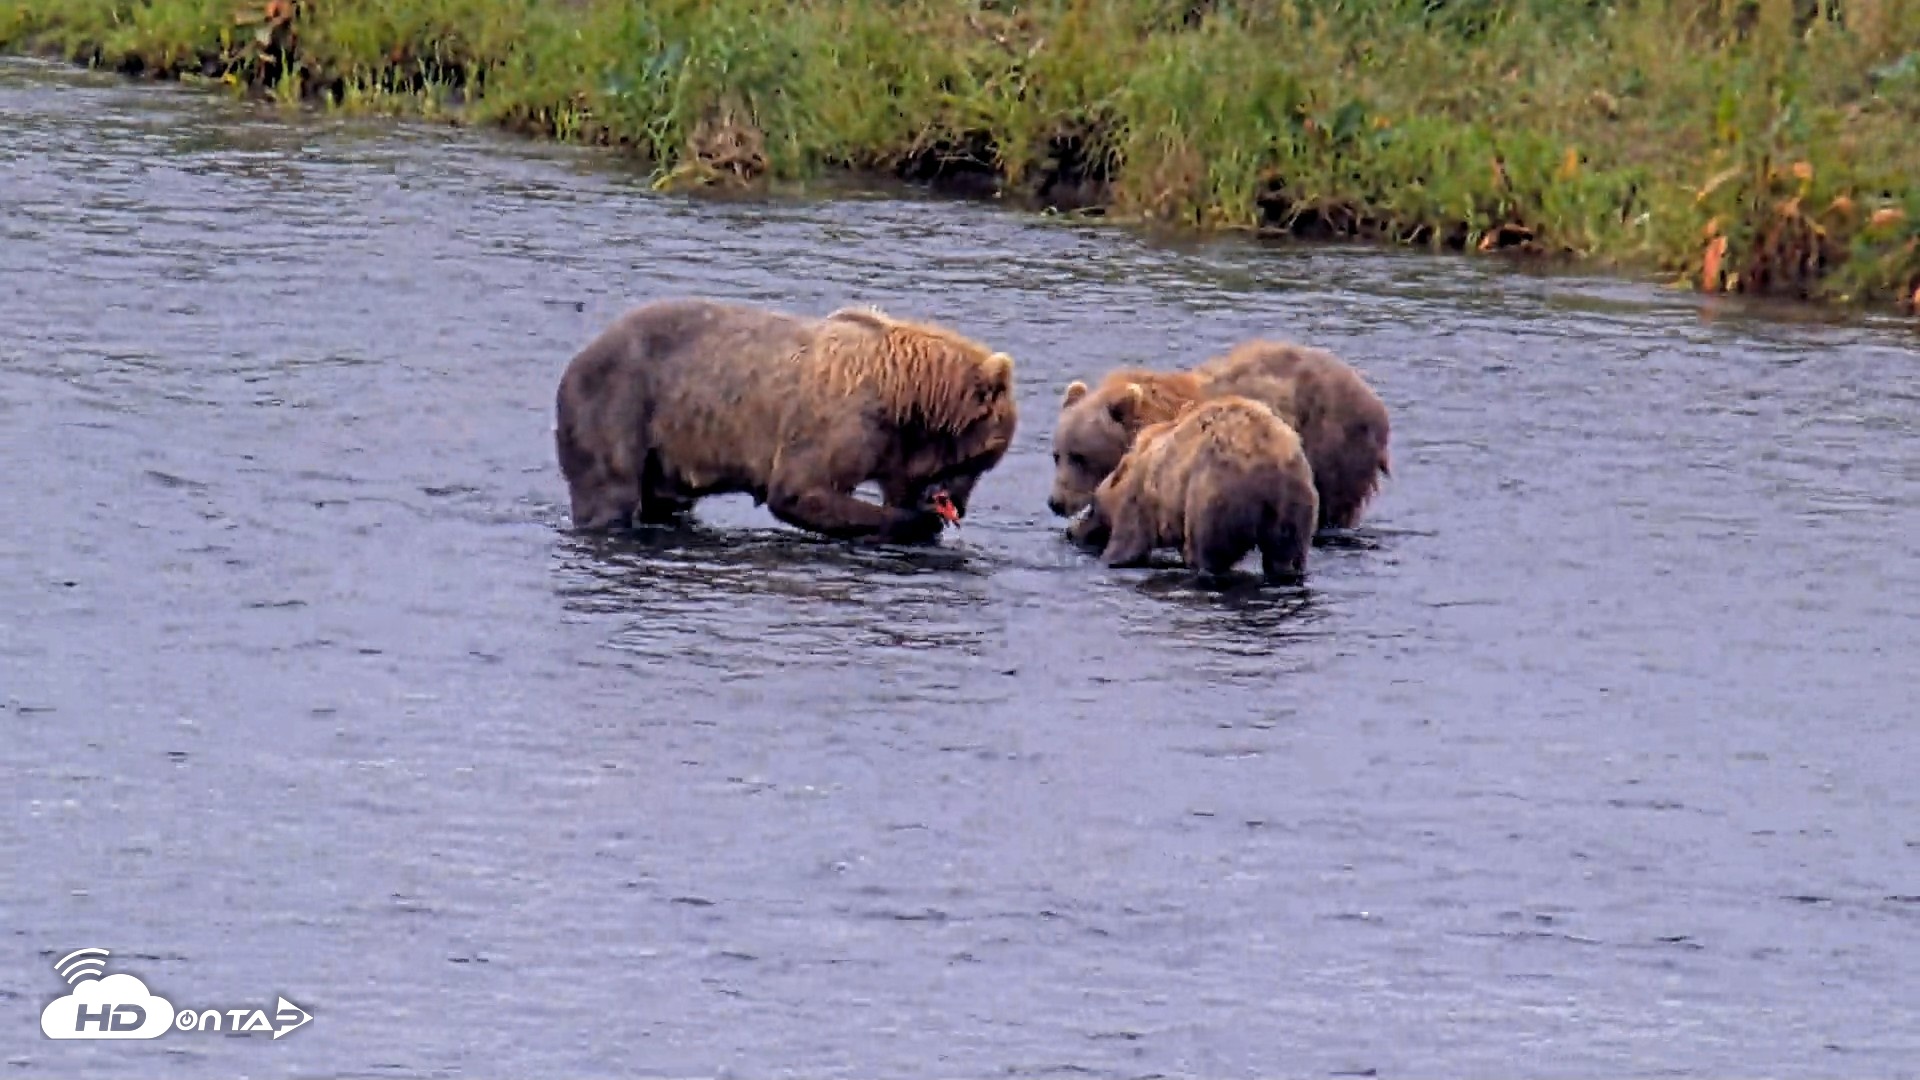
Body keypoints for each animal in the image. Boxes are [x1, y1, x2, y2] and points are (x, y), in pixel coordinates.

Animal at [554, 297, 1018, 544]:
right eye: (982, 461)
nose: (958, 504)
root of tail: (581, 354)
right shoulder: (839, 424)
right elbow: (801, 491)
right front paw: (917, 522)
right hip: (622, 402)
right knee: (609, 490)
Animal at [1067, 395, 1319, 583]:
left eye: (1092, 505)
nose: (1071, 530)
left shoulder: (1142, 500)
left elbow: (1128, 543)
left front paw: (1111, 558)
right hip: (1295, 505)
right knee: (1287, 554)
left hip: (1213, 495)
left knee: (1208, 551)